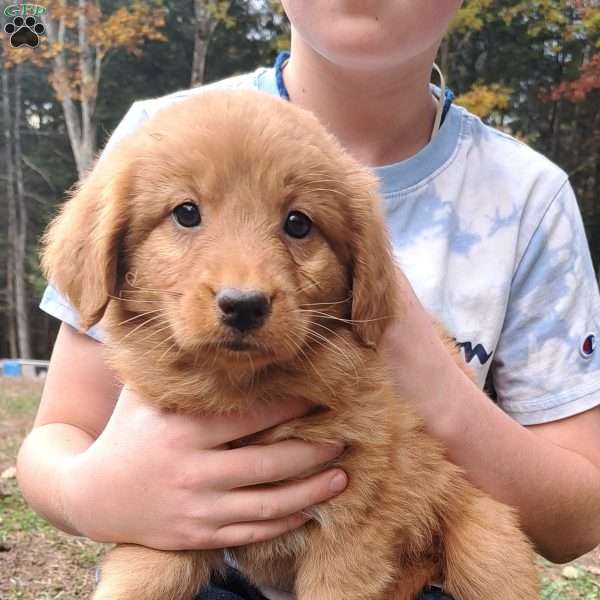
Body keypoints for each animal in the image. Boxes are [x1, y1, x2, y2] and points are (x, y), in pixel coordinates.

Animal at [42, 90, 540, 600]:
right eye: (186, 212)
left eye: (298, 223)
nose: (244, 305)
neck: (244, 390)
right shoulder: (171, 517)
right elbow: (145, 572)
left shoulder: (353, 529)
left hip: (486, 545)